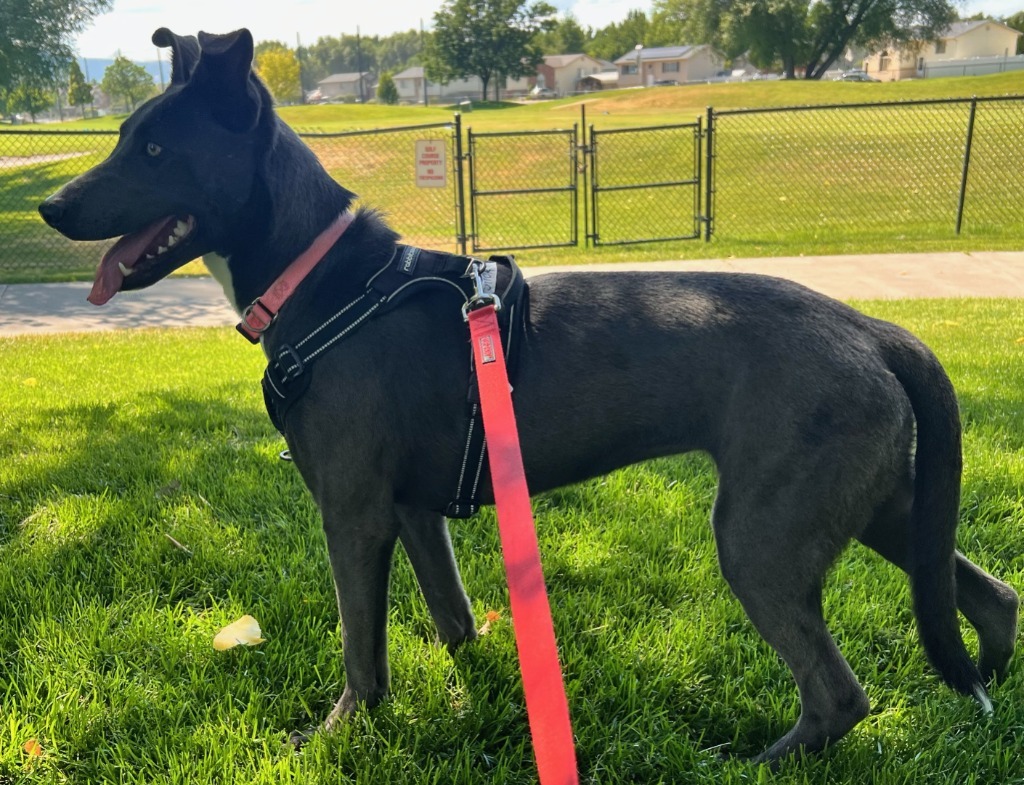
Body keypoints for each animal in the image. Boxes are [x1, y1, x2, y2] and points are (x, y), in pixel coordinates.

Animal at [37, 29, 1015, 769]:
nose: (49, 207)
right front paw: (468, 692)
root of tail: (872, 326)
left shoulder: (352, 512)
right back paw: (993, 678)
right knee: (987, 592)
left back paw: (751, 763)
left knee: (838, 694)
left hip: (763, 537)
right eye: (123, 135)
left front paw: (337, 734)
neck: (325, 280)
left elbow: (361, 648)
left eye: (155, 149)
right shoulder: (414, 511)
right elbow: (453, 618)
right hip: (876, 500)